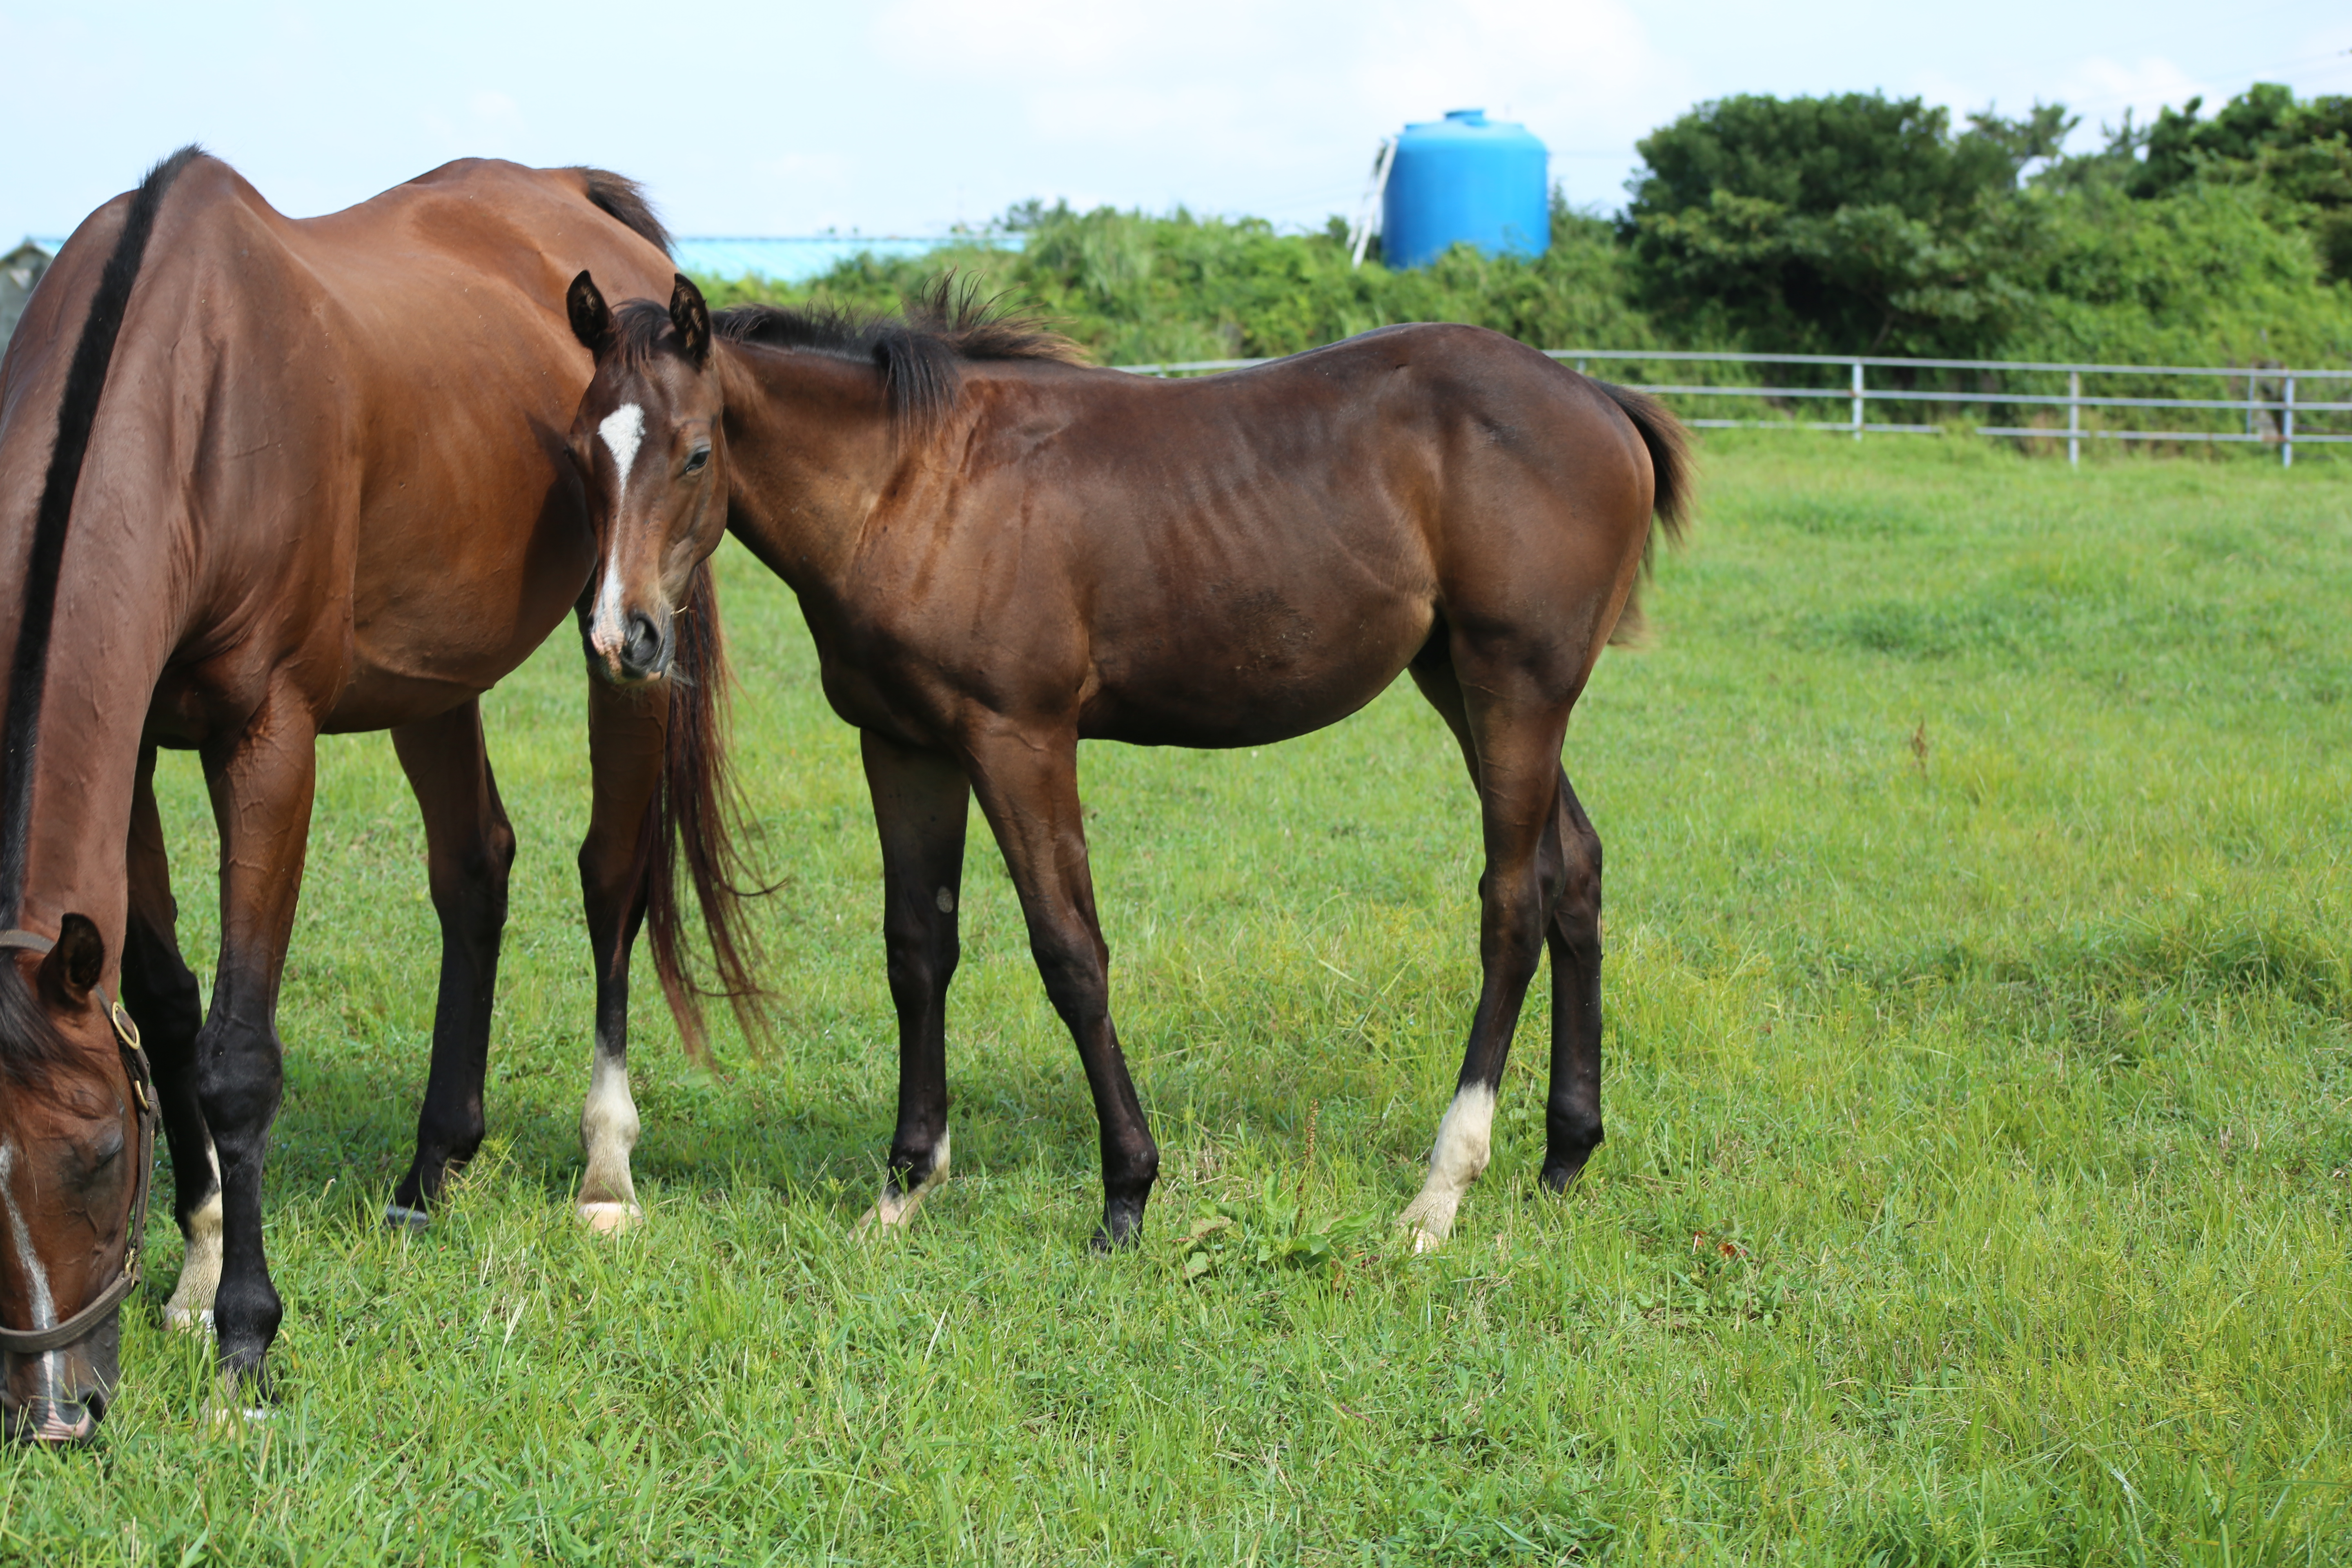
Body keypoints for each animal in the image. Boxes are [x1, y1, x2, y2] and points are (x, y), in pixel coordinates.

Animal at [0, 150, 757, 1439]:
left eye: (100, 1154)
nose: (54, 1414)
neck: (189, 390)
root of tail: (567, 193)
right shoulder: (138, 744)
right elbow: (163, 1005)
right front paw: (198, 1268)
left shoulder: (268, 740)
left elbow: (237, 1051)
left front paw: (246, 1337)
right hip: (431, 679)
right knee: (475, 868)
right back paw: (429, 1169)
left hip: (629, 644)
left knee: (610, 879)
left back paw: (605, 1172)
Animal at [559, 270, 1684, 1250]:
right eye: (579, 453)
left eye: (696, 452)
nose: (625, 638)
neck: (913, 485)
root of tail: (1601, 400)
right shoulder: (906, 745)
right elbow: (917, 951)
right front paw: (904, 1186)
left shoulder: (1019, 739)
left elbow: (1070, 953)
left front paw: (1126, 1194)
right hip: (1462, 683)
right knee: (1575, 869)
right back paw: (1564, 1154)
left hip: (1513, 691)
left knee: (1512, 904)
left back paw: (1440, 1192)